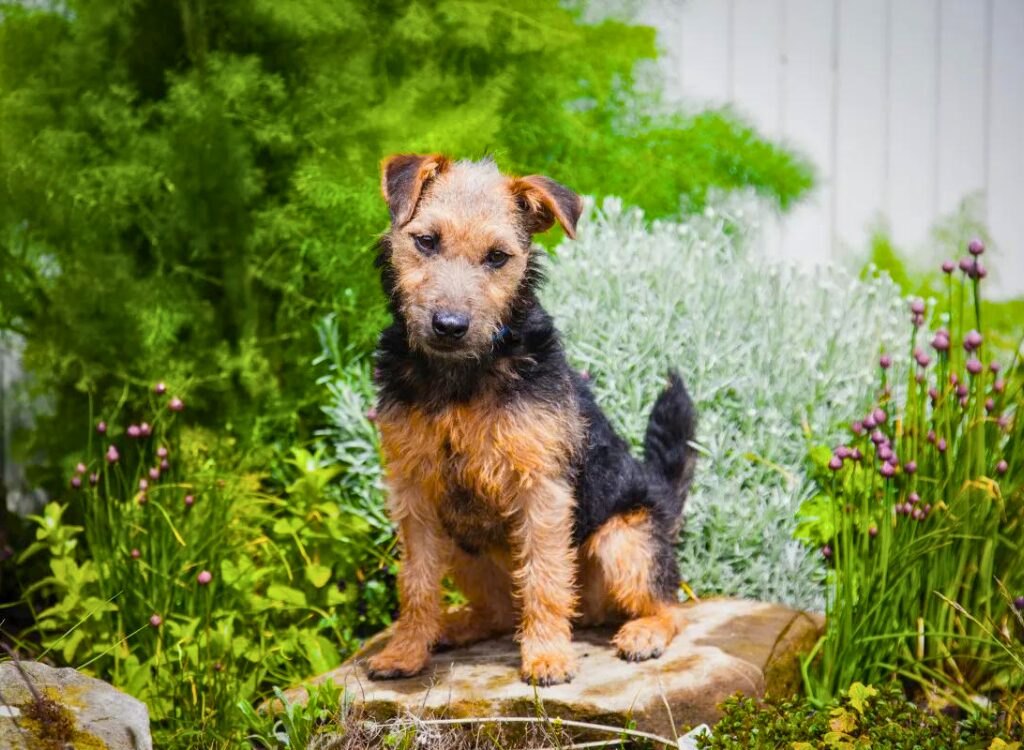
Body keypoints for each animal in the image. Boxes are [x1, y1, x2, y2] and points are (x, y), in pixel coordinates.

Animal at [362, 152, 696, 684]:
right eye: (426, 241)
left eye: (498, 257)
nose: (450, 326)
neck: (461, 376)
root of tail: (662, 496)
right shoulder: (414, 492)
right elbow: (415, 582)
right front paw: (405, 652)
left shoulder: (540, 489)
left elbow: (543, 578)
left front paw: (546, 657)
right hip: (462, 544)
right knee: (498, 611)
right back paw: (452, 628)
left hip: (624, 542)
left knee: (670, 605)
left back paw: (642, 634)